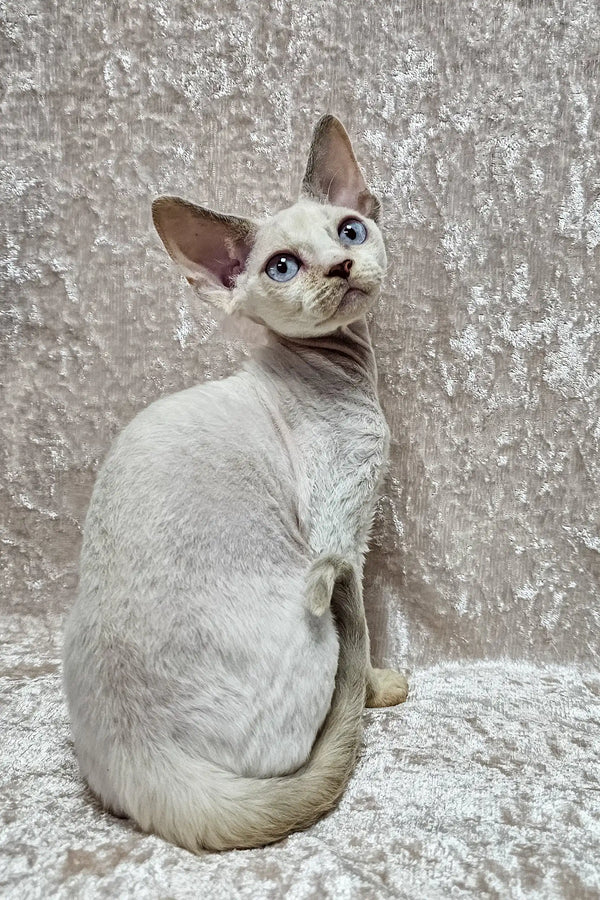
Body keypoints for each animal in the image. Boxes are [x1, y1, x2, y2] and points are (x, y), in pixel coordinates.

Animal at [62, 116, 408, 856]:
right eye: (283, 266)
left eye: (350, 231)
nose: (340, 266)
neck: (343, 371)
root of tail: (143, 767)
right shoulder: (345, 542)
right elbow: (366, 636)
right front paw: (380, 687)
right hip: (314, 616)